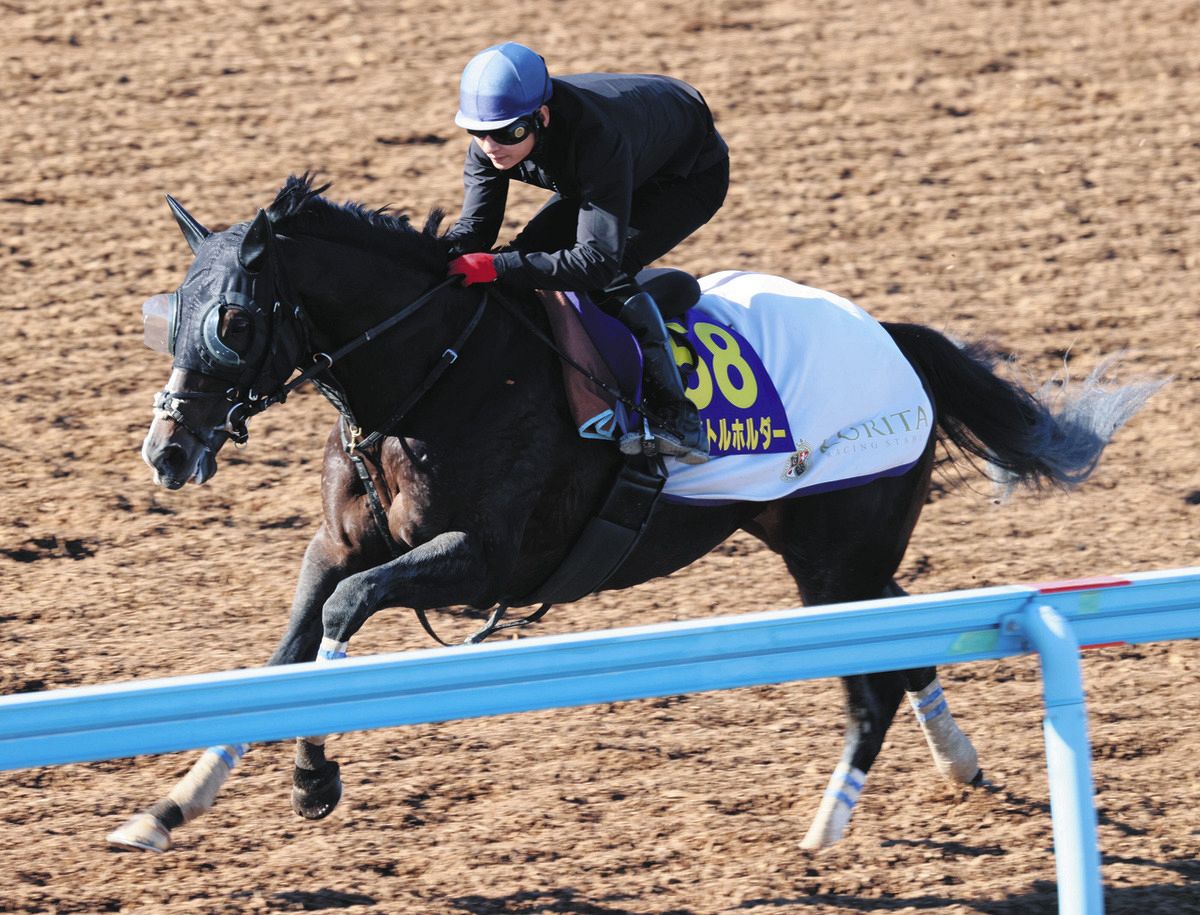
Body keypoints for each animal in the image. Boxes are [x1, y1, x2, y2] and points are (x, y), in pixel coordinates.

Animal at [112, 174, 1160, 852]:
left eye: (235, 321)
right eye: (170, 314)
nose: (168, 452)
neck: (434, 371)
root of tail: (893, 338)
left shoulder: (483, 558)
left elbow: (338, 619)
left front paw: (313, 778)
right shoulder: (336, 543)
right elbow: (283, 653)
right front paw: (169, 807)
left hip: (833, 558)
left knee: (874, 685)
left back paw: (824, 829)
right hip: (833, 552)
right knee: (907, 642)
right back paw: (960, 762)